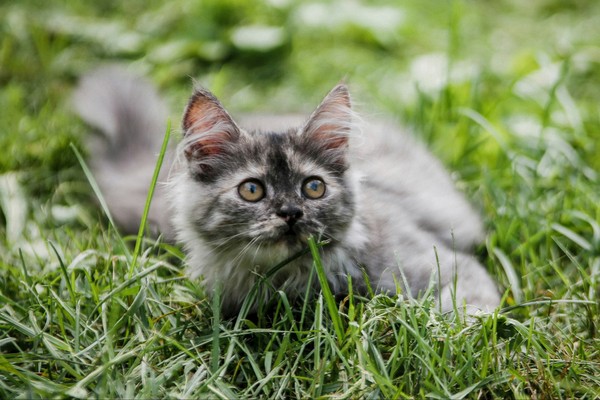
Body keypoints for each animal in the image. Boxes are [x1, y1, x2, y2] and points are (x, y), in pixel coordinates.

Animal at [72, 67, 500, 314]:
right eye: (251, 191)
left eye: (313, 188)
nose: (291, 213)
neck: (291, 278)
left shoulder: (448, 265)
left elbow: (470, 311)